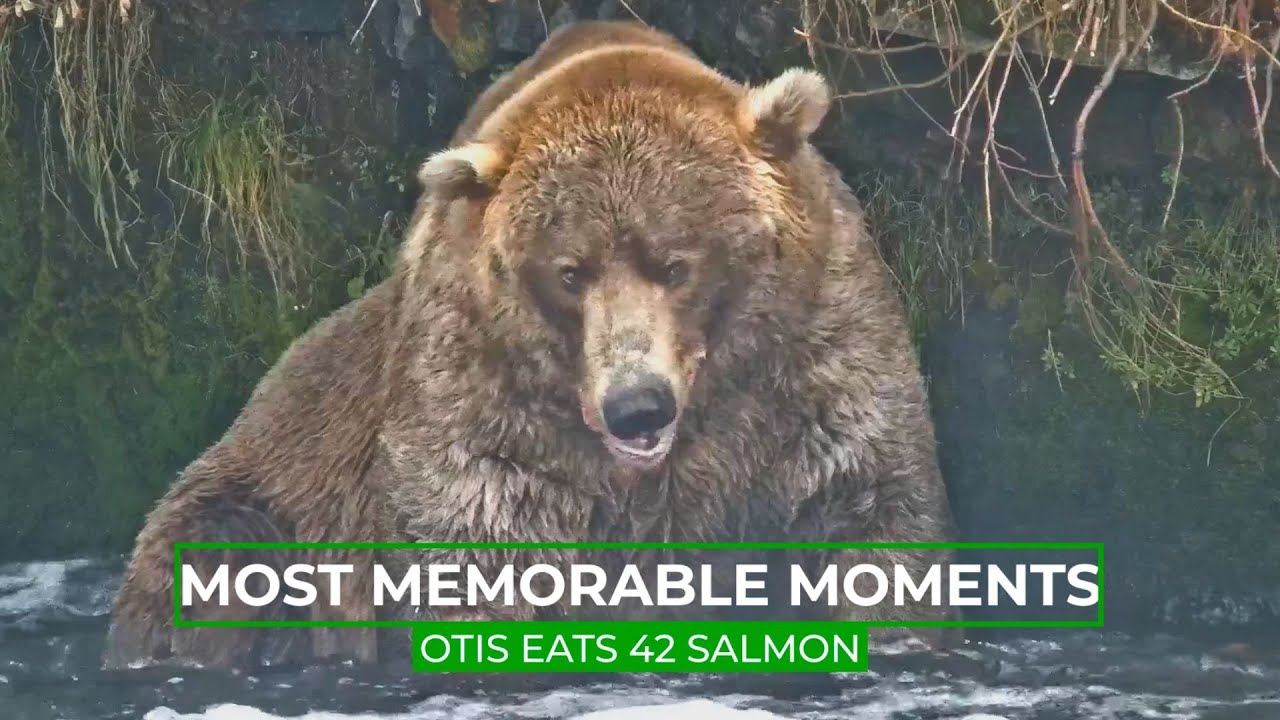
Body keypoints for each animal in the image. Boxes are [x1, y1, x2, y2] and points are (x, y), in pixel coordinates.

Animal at [102, 20, 960, 671]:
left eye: (675, 262)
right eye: (569, 271)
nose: (637, 406)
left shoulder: (817, 366)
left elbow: (872, 515)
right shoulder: (483, 404)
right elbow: (481, 554)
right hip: (263, 490)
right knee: (214, 563)